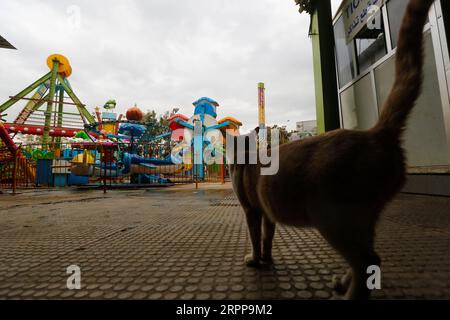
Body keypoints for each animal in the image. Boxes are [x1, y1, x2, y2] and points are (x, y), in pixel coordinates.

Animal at [229, 0, 436, 300]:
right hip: (364, 218)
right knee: (367, 257)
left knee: (368, 259)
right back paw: (343, 283)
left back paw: (349, 292)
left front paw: (255, 261)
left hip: (330, 216)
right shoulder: (267, 213)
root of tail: (376, 133)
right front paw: (266, 259)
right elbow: (268, 237)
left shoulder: (252, 210)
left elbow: (256, 238)